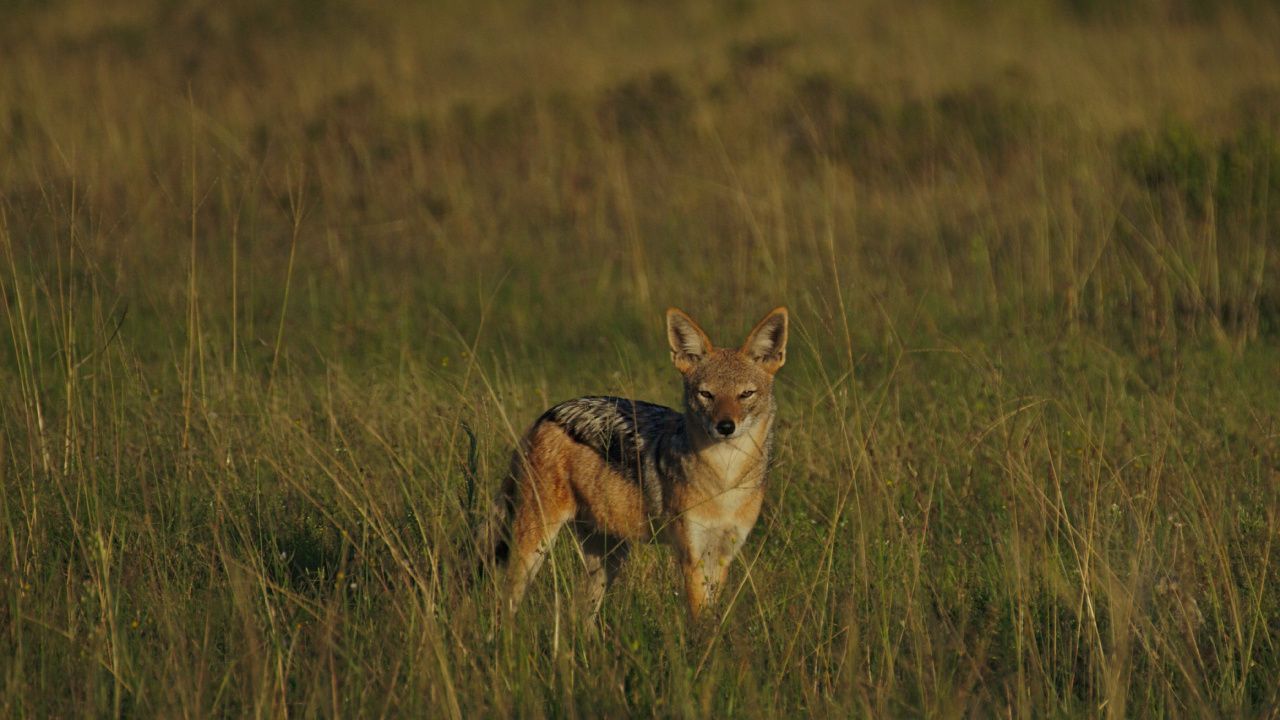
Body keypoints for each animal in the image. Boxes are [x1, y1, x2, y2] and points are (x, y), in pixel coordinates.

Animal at [481, 306, 788, 621]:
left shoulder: (722, 556)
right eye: (706, 394)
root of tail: (548, 414)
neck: (725, 479)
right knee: (506, 601)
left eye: (746, 394)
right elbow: (700, 621)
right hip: (535, 543)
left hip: (608, 558)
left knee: (579, 615)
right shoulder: (693, 558)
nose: (725, 427)